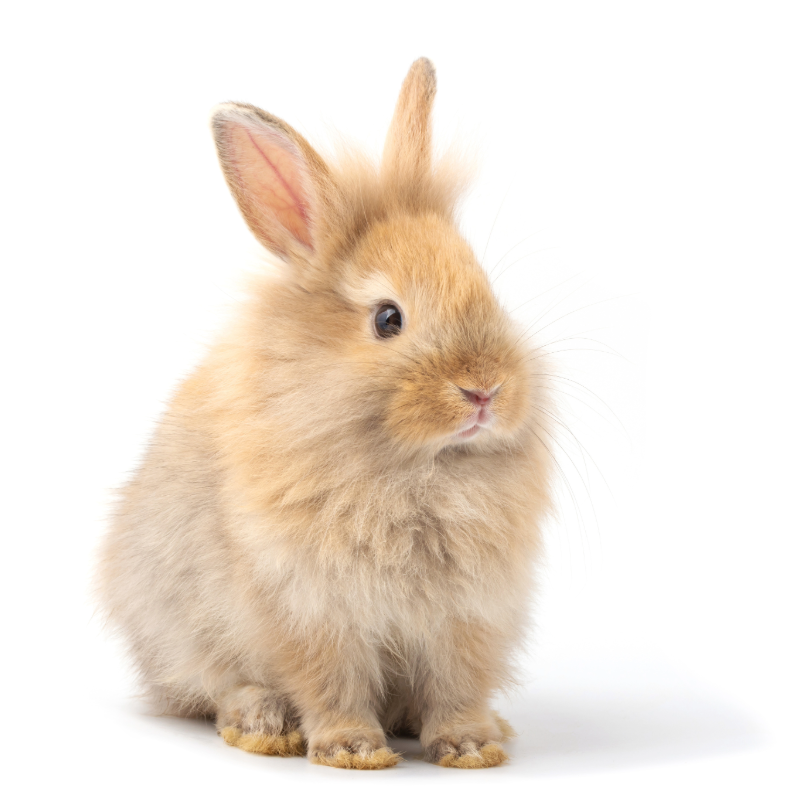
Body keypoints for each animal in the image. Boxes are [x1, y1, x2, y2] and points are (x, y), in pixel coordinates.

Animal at [96, 57, 554, 770]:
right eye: (388, 319)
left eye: (488, 292)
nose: (484, 390)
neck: (420, 467)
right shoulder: (308, 608)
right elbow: (330, 679)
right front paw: (353, 750)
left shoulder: (468, 619)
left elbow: (456, 684)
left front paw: (471, 746)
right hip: (176, 631)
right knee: (211, 687)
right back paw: (261, 723)